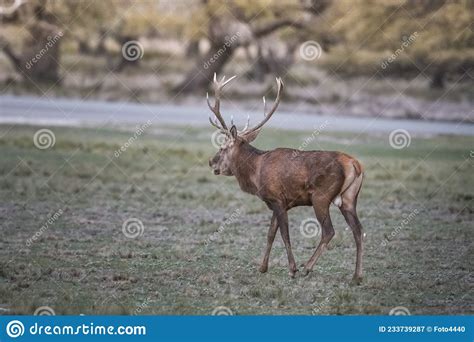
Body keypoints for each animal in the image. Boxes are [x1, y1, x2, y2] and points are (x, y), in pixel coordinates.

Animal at [206, 74, 364, 284]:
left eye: (222, 148)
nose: (211, 162)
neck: (256, 173)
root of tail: (355, 165)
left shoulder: (277, 199)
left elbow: (284, 234)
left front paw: (292, 269)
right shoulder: (277, 202)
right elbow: (270, 233)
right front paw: (262, 267)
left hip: (321, 197)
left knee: (329, 231)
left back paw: (307, 267)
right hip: (349, 198)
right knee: (358, 230)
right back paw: (357, 276)